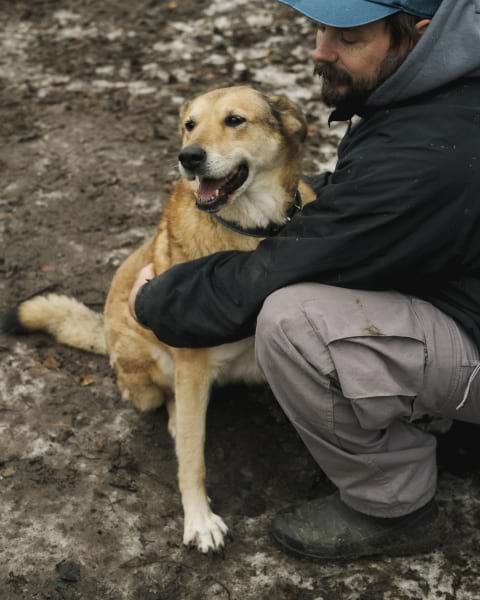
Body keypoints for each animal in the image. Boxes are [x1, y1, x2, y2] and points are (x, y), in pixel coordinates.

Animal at [2, 85, 316, 552]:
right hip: (145, 369)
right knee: (165, 403)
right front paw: (199, 520)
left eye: (235, 120)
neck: (250, 231)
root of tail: (105, 334)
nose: (189, 157)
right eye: (189, 124)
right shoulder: (191, 367)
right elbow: (192, 457)